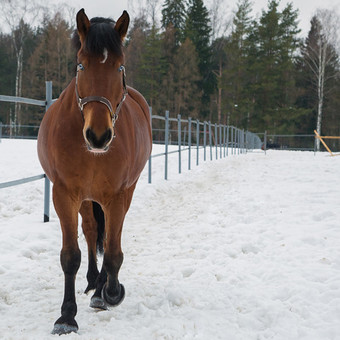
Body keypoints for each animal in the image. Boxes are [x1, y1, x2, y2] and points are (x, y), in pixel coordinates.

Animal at [37, 7, 152, 334]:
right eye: (81, 65)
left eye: (119, 67)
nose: (98, 136)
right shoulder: (64, 195)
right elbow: (70, 255)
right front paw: (66, 316)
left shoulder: (116, 196)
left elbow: (113, 249)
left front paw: (110, 292)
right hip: (86, 198)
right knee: (90, 231)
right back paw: (91, 281)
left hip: (122, 194)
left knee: (112, 236)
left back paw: (101, 287)